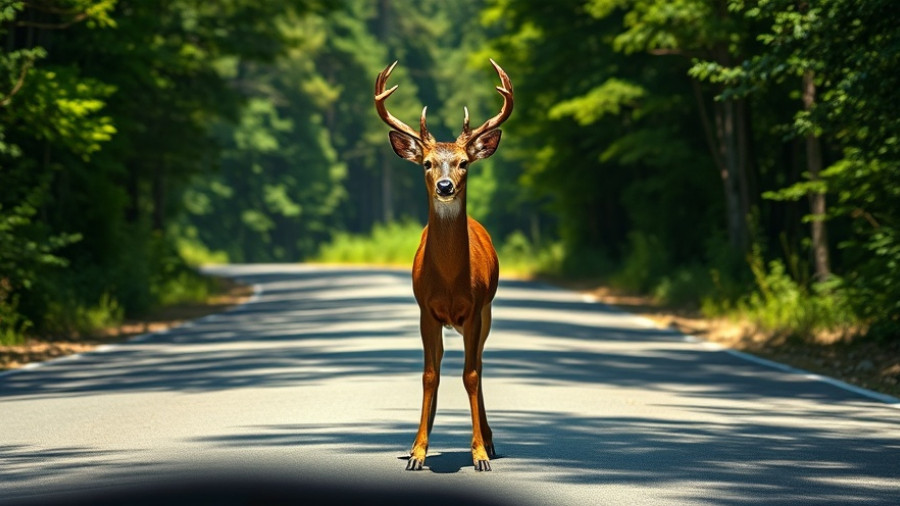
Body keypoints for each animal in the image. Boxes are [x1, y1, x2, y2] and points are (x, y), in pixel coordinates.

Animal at [374, 59, 513, 472]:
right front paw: (418, 452)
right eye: (427, 163)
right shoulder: (425, 310)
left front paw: (479, 452)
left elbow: (470, 375)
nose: (446, 186)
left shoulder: (475, 309)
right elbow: (429, 376)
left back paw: (489, 441)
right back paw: (417, 441)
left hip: (486, 312)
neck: (451, 281)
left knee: (478, 365)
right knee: (438, 365)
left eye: (464, 162)